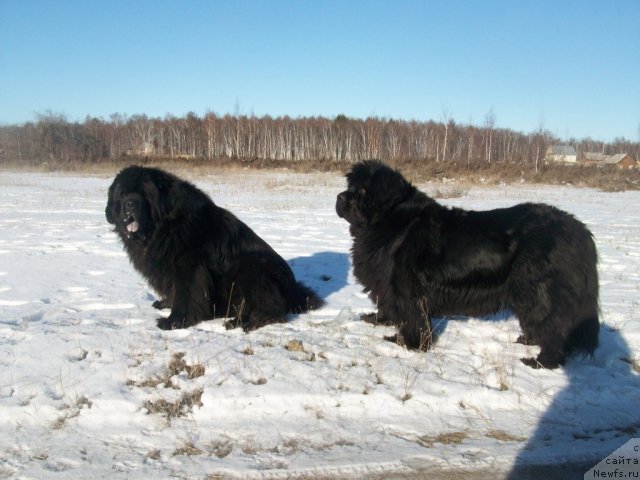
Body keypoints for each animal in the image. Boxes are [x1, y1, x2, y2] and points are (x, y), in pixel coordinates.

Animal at [108, 165, 324, 330]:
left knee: (271, 309)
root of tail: (294, 290)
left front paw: (174, 321)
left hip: (253, 266)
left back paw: (242, 322)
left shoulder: (189, 266)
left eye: (145, 193)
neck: (162, 227)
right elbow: (174, 291)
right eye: (122, 194)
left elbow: (184, 294)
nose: (130, 204)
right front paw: (165, 304)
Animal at [336, 160, 600, 368]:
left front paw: (408, 344)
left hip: (539, 291)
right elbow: (386, 304)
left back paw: (541, 361)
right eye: (350, 187)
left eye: (363, 190)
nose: (339, 197)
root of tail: (580, 231)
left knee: (555, 327)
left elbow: (412, 317)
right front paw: (378, 320)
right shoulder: (386, 283)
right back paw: (529, 341)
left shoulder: (407, 288)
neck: (389, 219)